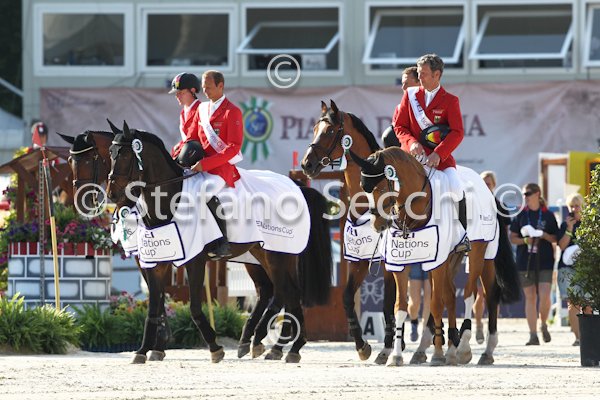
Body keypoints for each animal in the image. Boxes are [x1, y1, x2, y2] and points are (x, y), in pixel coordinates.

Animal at [58, 125, 324, 362]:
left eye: (122, 155)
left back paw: (285, 347)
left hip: (278, 255)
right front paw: (147, 349)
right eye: (71, 161)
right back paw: (273, 346)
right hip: (262, 255)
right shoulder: (154, 260)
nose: (111, 193)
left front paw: (213, 347)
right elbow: (154, 306)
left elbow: (193, 307)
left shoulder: (194, 261)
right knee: (277, 291)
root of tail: (295, 186)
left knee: (285, 292)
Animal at [301, 101, 400, 364]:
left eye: (329, 131)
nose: (306, 164)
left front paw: (386, 349)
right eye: (314, 129)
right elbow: (346, 298)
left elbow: (388, 304)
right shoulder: (360, 259)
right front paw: (362, 346)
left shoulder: (390, 265)